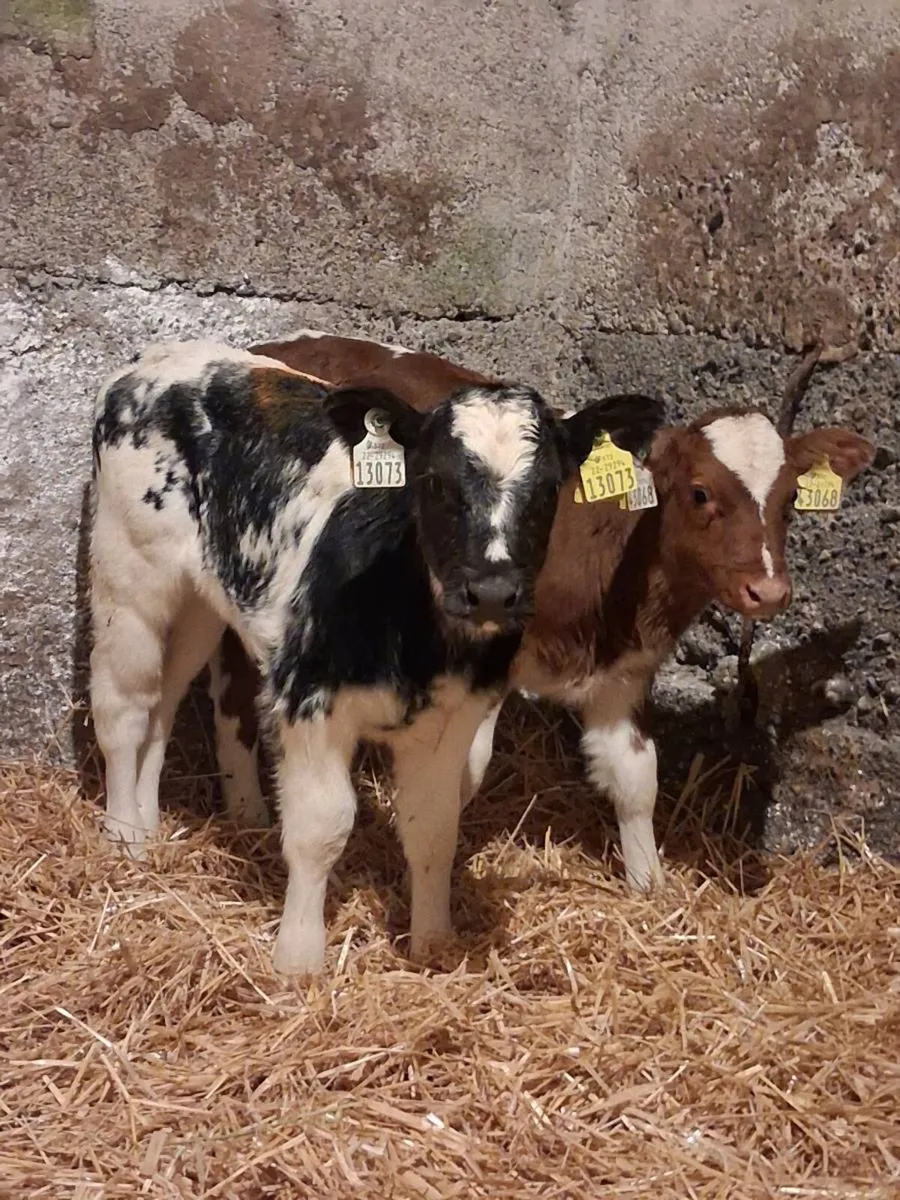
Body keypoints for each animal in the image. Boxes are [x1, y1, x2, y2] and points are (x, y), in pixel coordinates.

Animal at [88, 339, 662, 973]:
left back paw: (147, 824)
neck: (416, 637)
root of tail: (164, 356)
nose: (491, 591)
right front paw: (298, 958)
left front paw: (433, 942)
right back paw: (122, 836)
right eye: (433, 480)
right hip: (128, 574)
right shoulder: (309, 699)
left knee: (164, 700)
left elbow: (434, 828)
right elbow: (321, 827)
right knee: (124, 707)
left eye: (548, 488)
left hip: (199, 601)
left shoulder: (452, 719)